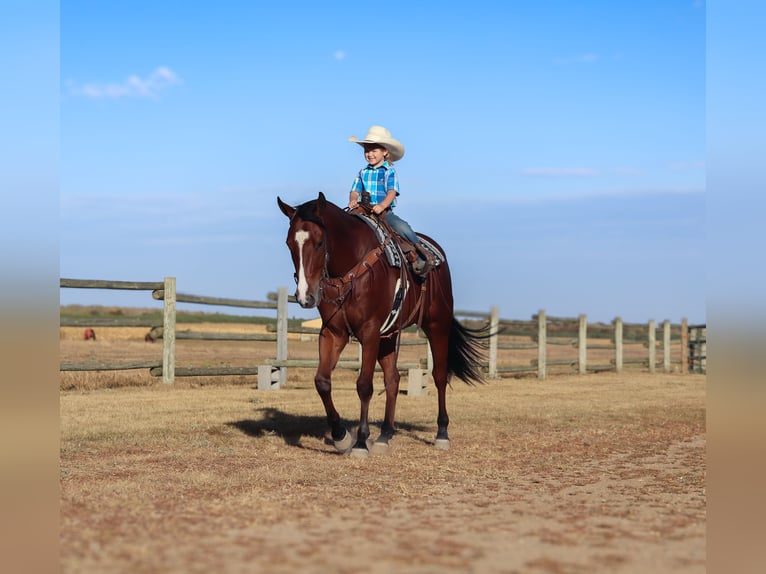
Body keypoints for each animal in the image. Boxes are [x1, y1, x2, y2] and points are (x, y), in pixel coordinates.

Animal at [280, 194, 488, 460]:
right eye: (289, 244)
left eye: (318, 242)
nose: (305, 297)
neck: (351, 270)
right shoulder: (333, 333)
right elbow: (322, 381)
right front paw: (340, 436)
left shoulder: (369, 333)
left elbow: (364, 386)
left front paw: (360, 442)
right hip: (389, 335)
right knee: (393, 379)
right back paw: (385, 435)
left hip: (437, 326)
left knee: (440, 376)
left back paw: (442, 433)